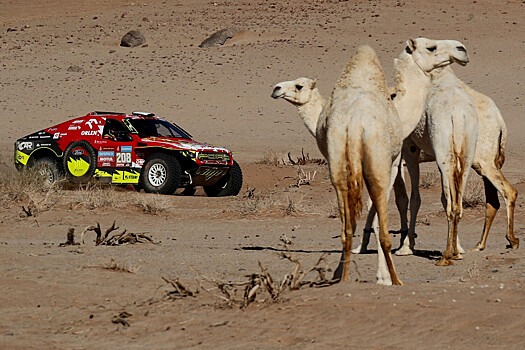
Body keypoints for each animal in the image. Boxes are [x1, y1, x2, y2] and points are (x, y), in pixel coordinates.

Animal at [272, 44, 404, 284]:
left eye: (299, 85)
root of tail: (356, 122)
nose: (276, 88)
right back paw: (392, 277)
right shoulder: (391, 162)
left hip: (341, 162)